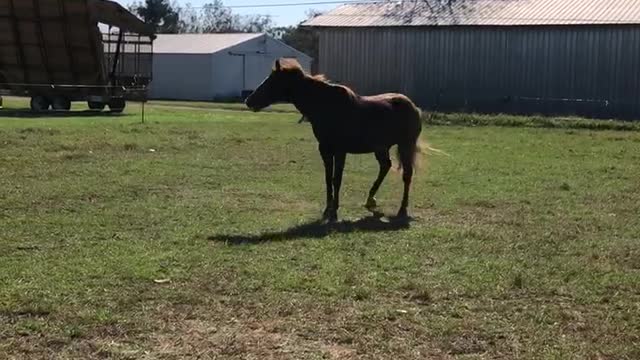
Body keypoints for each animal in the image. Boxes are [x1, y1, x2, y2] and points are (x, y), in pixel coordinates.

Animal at [246, 58, 424, 221]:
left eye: (271, 81)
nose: (249, 101)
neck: (327, 106)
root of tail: (413, 107)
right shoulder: (325, 149)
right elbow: (328, 179)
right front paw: (327, 209)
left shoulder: (339, 151)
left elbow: (336, 179)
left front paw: (334, 211)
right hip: (381, 148)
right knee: (385, 166)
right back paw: (370, 199)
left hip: (405, 145)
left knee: (407, 174)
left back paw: (402, 209)